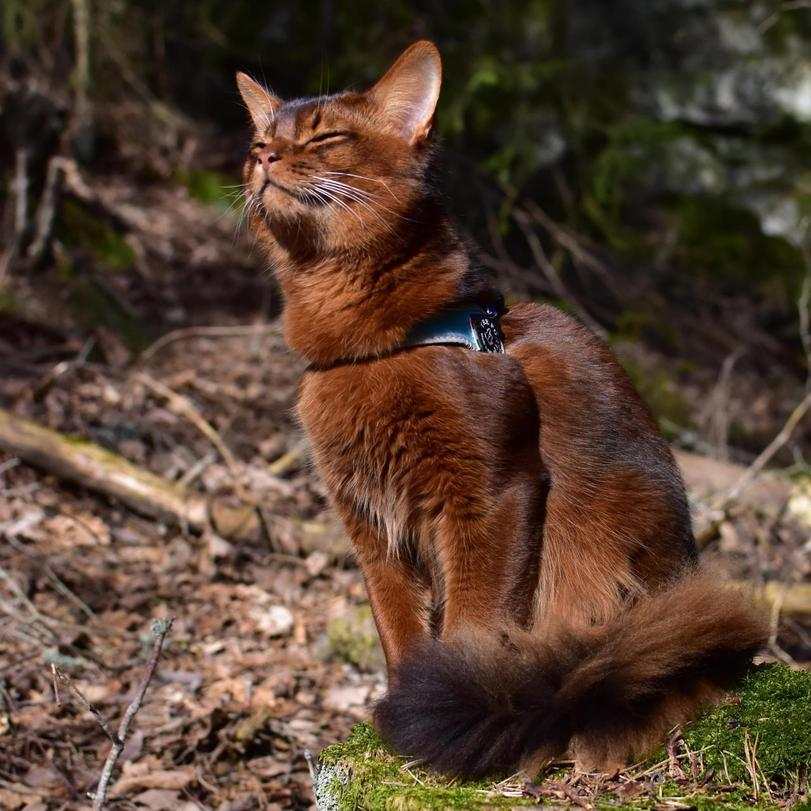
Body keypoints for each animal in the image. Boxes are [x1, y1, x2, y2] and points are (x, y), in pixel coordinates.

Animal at [236, 41, 766, 777]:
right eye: (258, 140)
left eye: (323, 137)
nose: (262, 157)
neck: (370, 348)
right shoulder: (368, 521)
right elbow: (398, 627)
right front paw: (405, 714)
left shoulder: (491, 492)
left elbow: (472, 623)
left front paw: (454, 711)